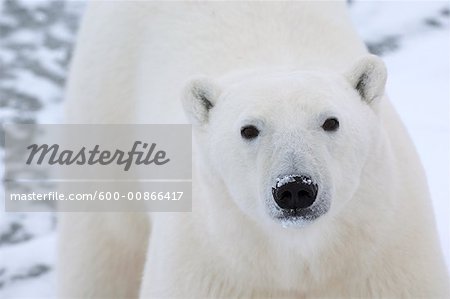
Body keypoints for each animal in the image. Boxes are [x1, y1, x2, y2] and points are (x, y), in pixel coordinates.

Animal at [58, 1, 448, 298]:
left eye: (331, 121)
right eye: (249, 129)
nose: (295, 189)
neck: (297, 255)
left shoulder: (387, 260)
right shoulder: (212, 265)